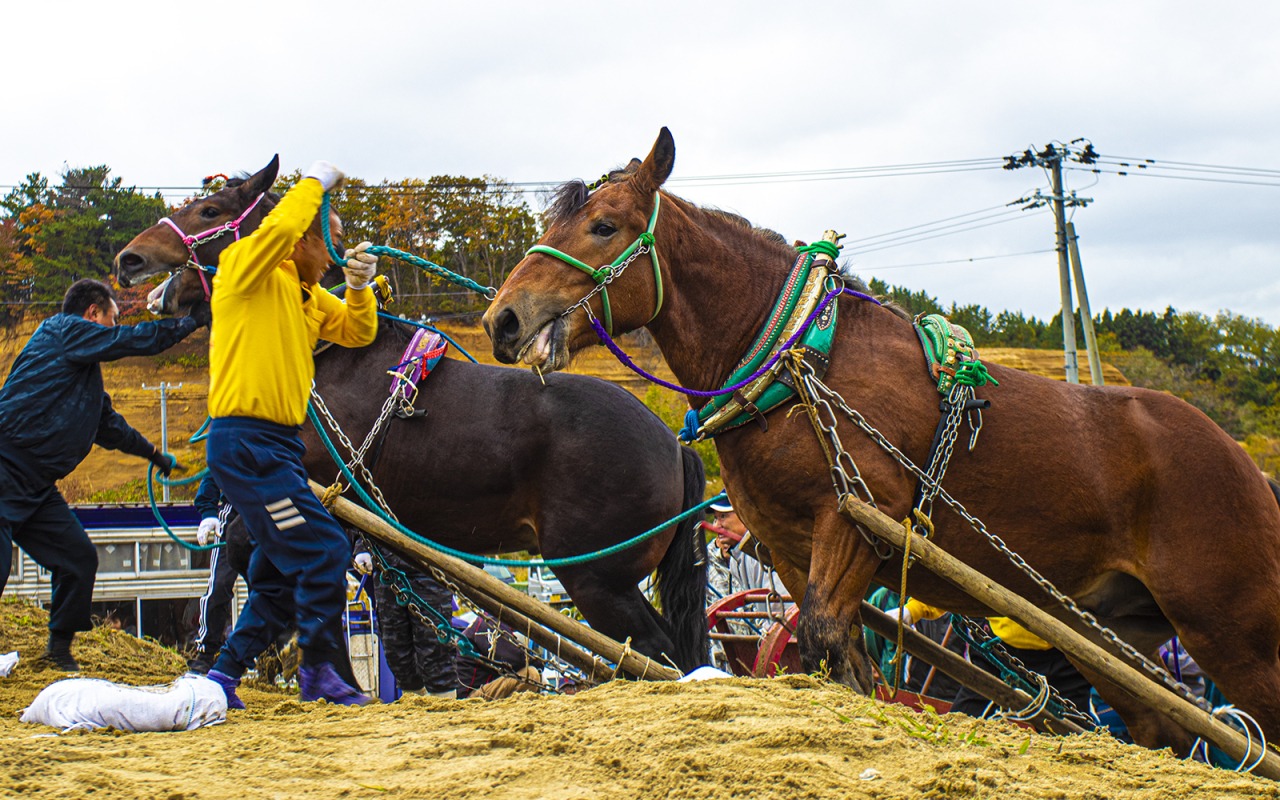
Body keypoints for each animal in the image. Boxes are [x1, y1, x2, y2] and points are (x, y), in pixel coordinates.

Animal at [113, 156, 710, 673]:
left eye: (210, 210)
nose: (128, 259)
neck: (314, 350)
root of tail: (673, 445)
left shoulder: (305, 493)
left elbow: (242, 555)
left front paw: (213, 652)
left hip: (594, 577)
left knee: (657, 655)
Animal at [482, 127, 1280, 752]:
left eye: (604, 226)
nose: (503, 319)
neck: (801, 360)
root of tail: (1244, 466)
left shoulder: (860, 519)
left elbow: (826, 639)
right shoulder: (788, 543)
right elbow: (831, 656)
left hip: (1233, 624)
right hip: (1113, 631)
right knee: (1163, 727)